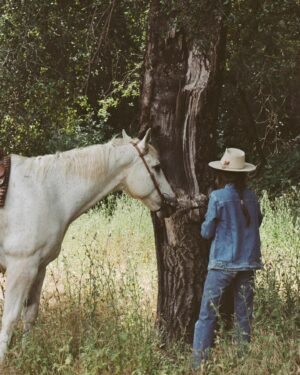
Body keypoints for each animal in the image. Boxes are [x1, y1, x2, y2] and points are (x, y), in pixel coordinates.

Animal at [0, 130, 175, 362]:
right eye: (156, 167)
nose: (173, 203)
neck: (47, 192)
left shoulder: (38, 268)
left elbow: (29, 315)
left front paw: (26, 355)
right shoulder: (21, 268)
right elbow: (9, 320)